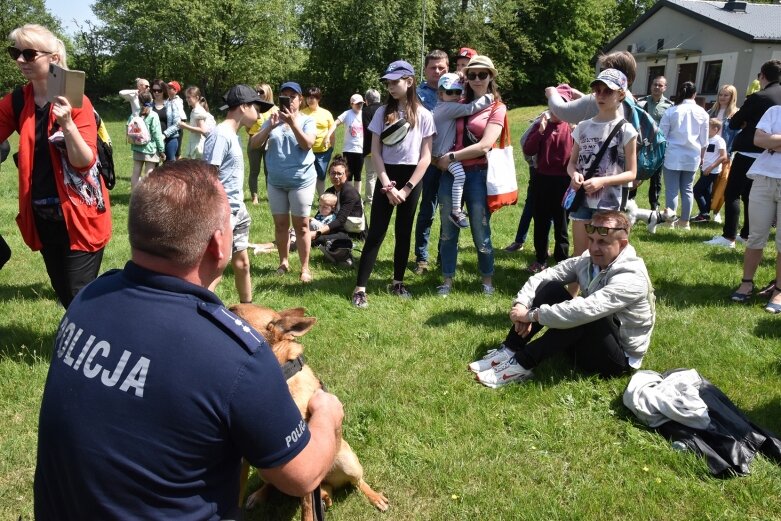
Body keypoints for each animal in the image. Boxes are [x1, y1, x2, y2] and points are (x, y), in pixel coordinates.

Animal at [230, 302, 390, 516]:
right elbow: (237, 492)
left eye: (233, 312)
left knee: (357, 483)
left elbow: (307, 510)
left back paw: (372, 496)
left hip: (348, 463)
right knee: (278, 485)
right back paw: (263, 495)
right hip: (267, 471)